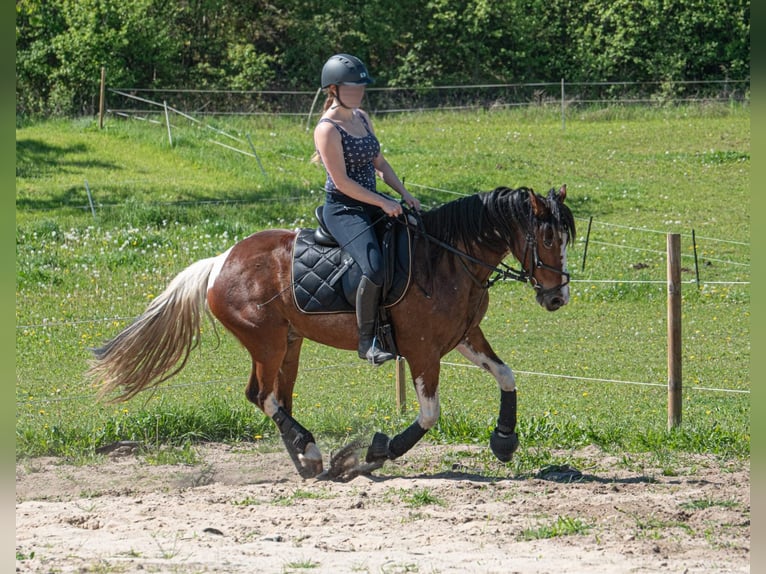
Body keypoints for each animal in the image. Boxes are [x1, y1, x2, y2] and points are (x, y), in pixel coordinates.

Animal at [88, 186, 576, 482]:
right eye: (548, 238)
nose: (558, 298)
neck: (449, 259)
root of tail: (220, 261)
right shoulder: (422, 350)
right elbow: (429, 414)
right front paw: (377, 451)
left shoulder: (463, 335)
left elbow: (506, 375)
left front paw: (504, 441)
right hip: (266, 343)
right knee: (263, 397)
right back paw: (312, 451)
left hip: (289, 344)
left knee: (274, 399)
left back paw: (307, 459)